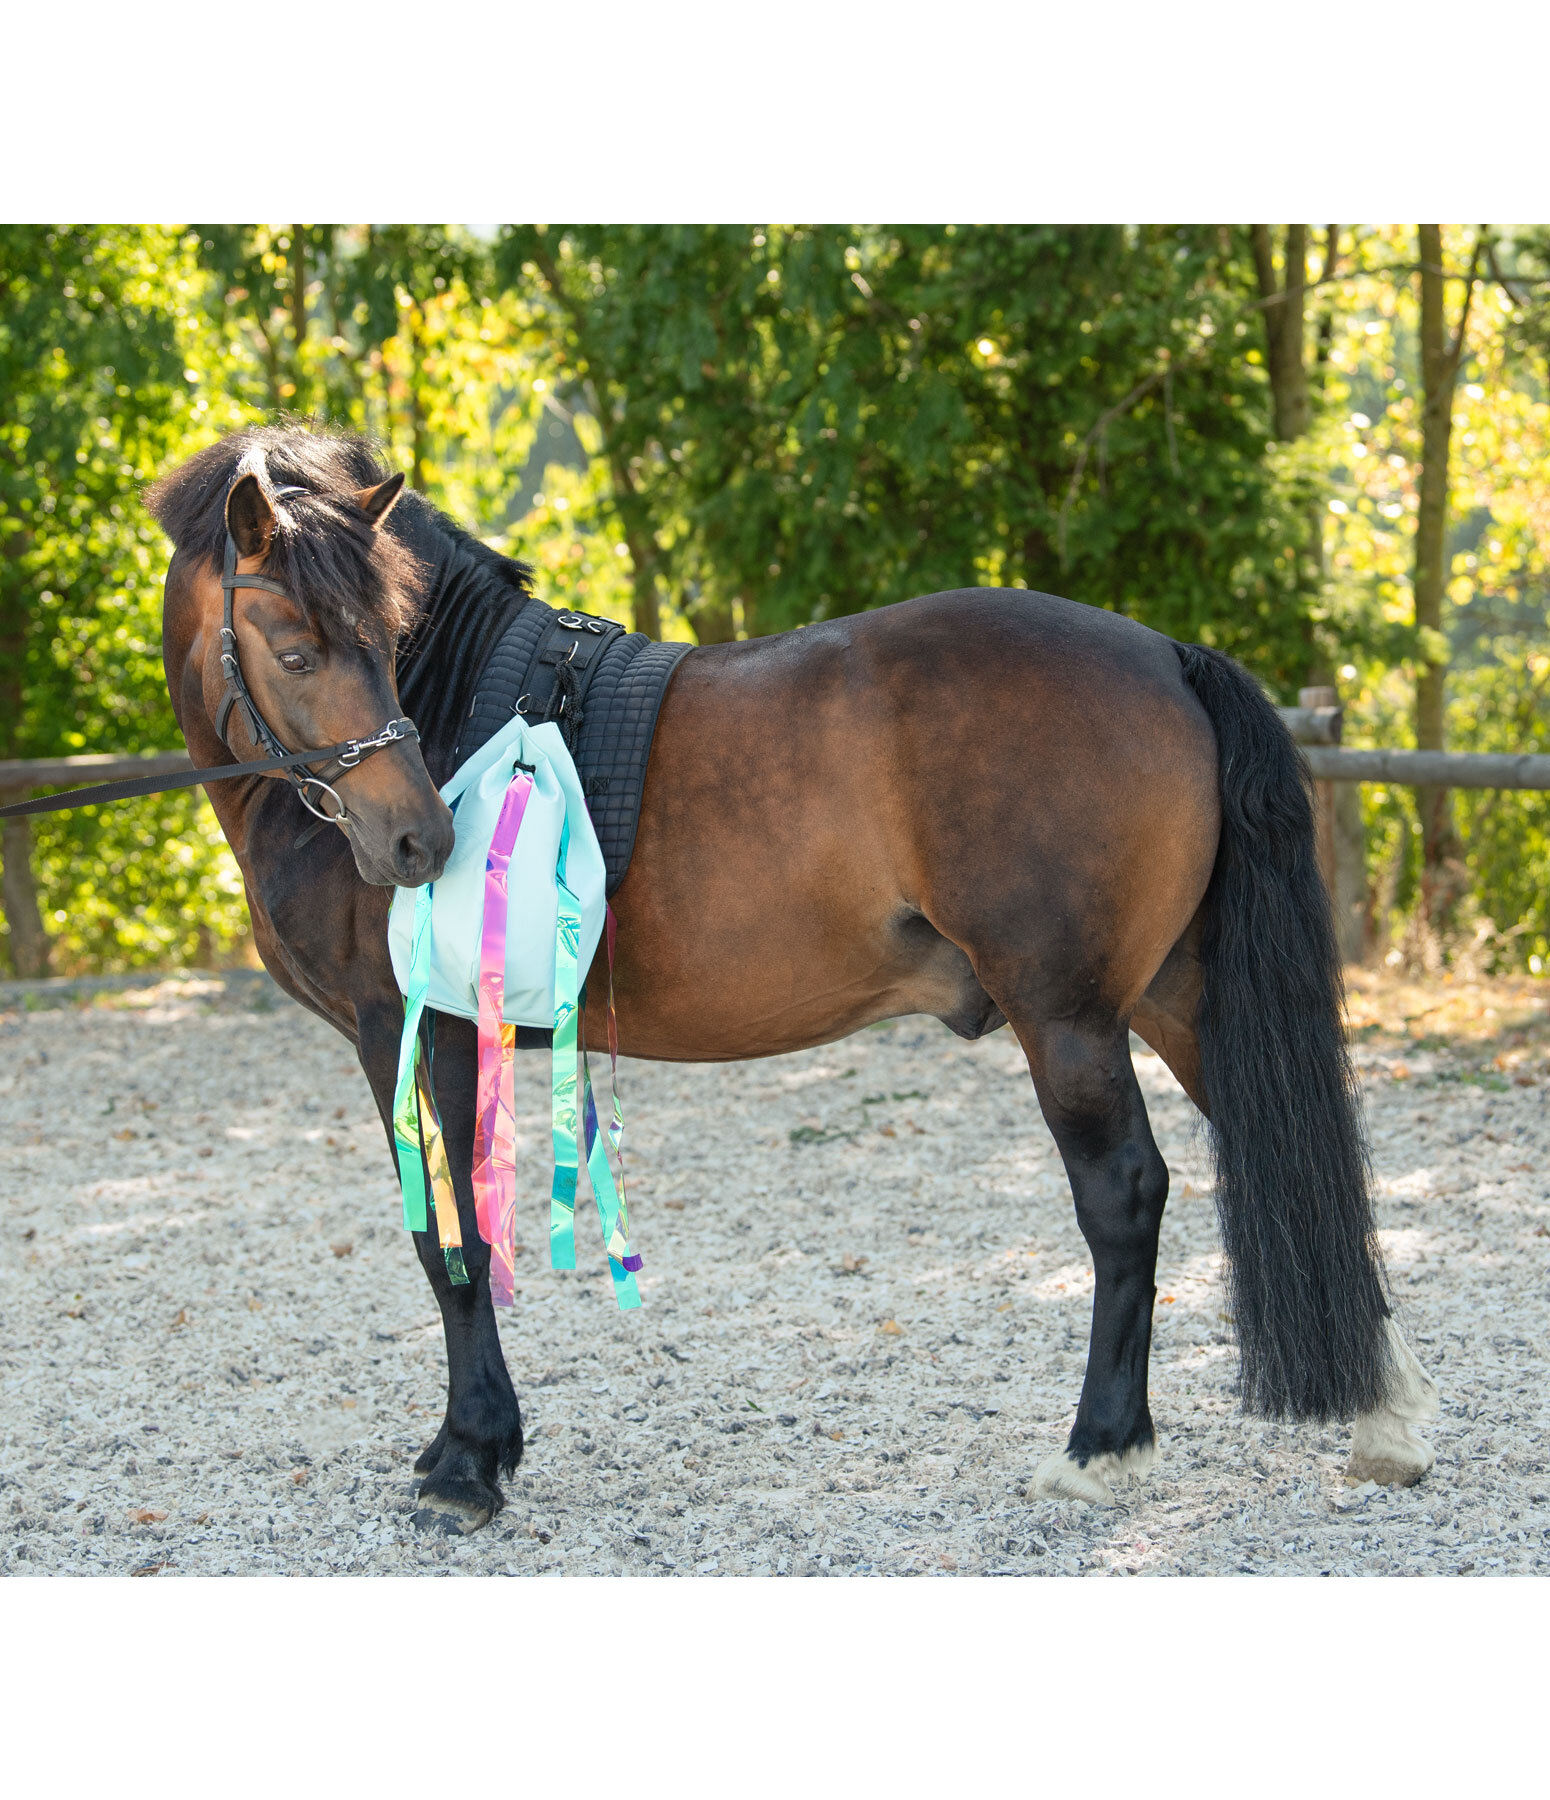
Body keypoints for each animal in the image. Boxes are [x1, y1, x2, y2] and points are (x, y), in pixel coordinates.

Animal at [148, 421, 1440, 1533]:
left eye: (384, 635)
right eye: (299, 647)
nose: (418, 840)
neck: (459, 704)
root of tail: (1167, 656)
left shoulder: (412, 1029)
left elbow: (451, 1239)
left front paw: (469, 1461)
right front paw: (467, 1447)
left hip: (1068, 1016)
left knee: (1124, 1195)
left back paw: (1098, 1450)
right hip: (1178, 1000)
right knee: (1297, 1157)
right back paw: (1386, 1420)